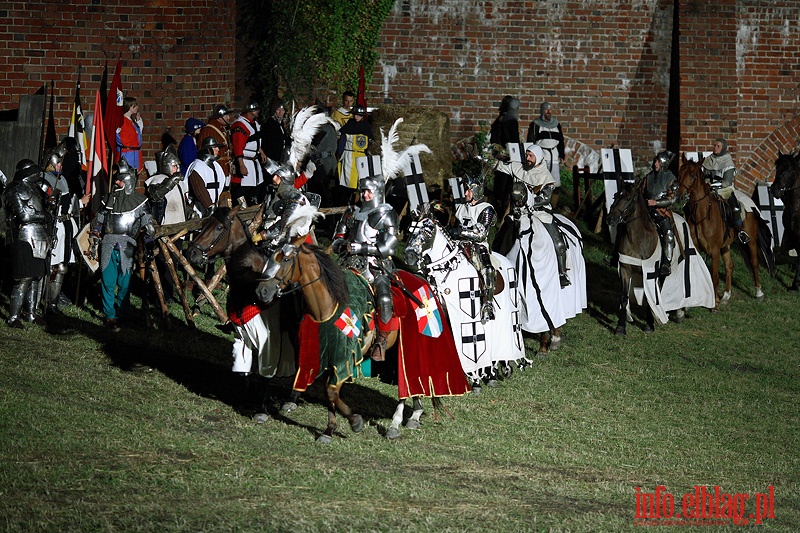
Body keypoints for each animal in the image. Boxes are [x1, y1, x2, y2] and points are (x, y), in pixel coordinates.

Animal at [680, 153, 764, 308]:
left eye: (693, 175)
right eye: (680, 172)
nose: (680, 194)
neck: (702, 214)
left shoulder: (714, 250)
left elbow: (714, 276)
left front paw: (715, 303)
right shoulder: (697, 248)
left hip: (751, 241)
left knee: (754, 262)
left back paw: (759, 293)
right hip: (726, 245)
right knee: (729, 266)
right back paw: (726, 295)